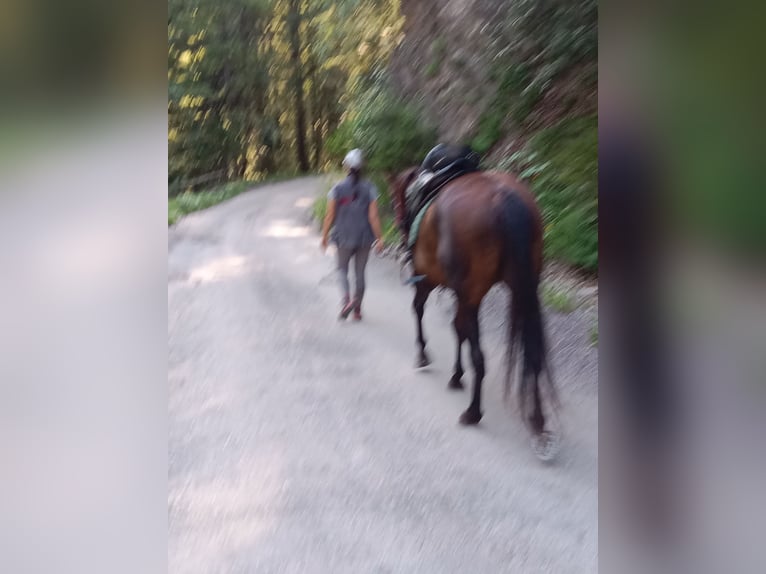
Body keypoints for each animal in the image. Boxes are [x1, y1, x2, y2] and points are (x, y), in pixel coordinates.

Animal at [392, 166, 560, 460]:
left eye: (397, 200)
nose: (401, 226)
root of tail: (503, 196)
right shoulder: (461, 295)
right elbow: (458, 329)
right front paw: (456, 376)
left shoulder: (428, 280)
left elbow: (420, 311)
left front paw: (423, 355)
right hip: (523, 288)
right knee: (531, 353)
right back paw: (538, 422)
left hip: (472, 292)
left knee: (479, 357)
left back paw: (472, 413)